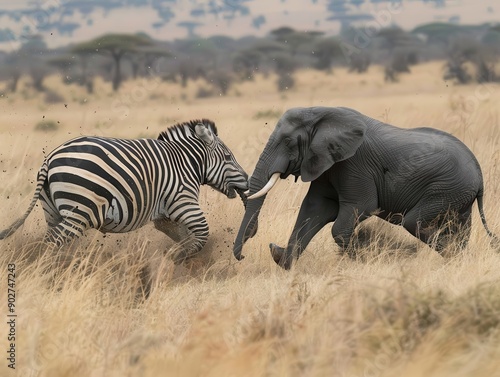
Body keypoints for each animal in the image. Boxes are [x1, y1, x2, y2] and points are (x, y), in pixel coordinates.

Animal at [0, 119, 249, 262]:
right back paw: (48, 274)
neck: (186, 162)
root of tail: (50, 158)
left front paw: (182, 260)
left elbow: (184, 236)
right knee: (52, 242)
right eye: (228, 157)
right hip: (80, 212)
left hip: (52, 211)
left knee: (51, 239)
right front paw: (177, 259)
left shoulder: (163, 215)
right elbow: (202, 234)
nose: (247, 182)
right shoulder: (183, 199)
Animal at [232, 107, 498, 268]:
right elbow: (313, 209)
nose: (242, 256)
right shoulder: (327, 163)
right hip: (459, 195)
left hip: (446, 189)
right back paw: (459, 260)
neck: (321, 113)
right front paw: (283, 261)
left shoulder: (354, 164)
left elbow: (354, 212)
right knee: (459, 229)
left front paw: (362, 260)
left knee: (414, 222)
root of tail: (479, 175)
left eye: (288, 142)